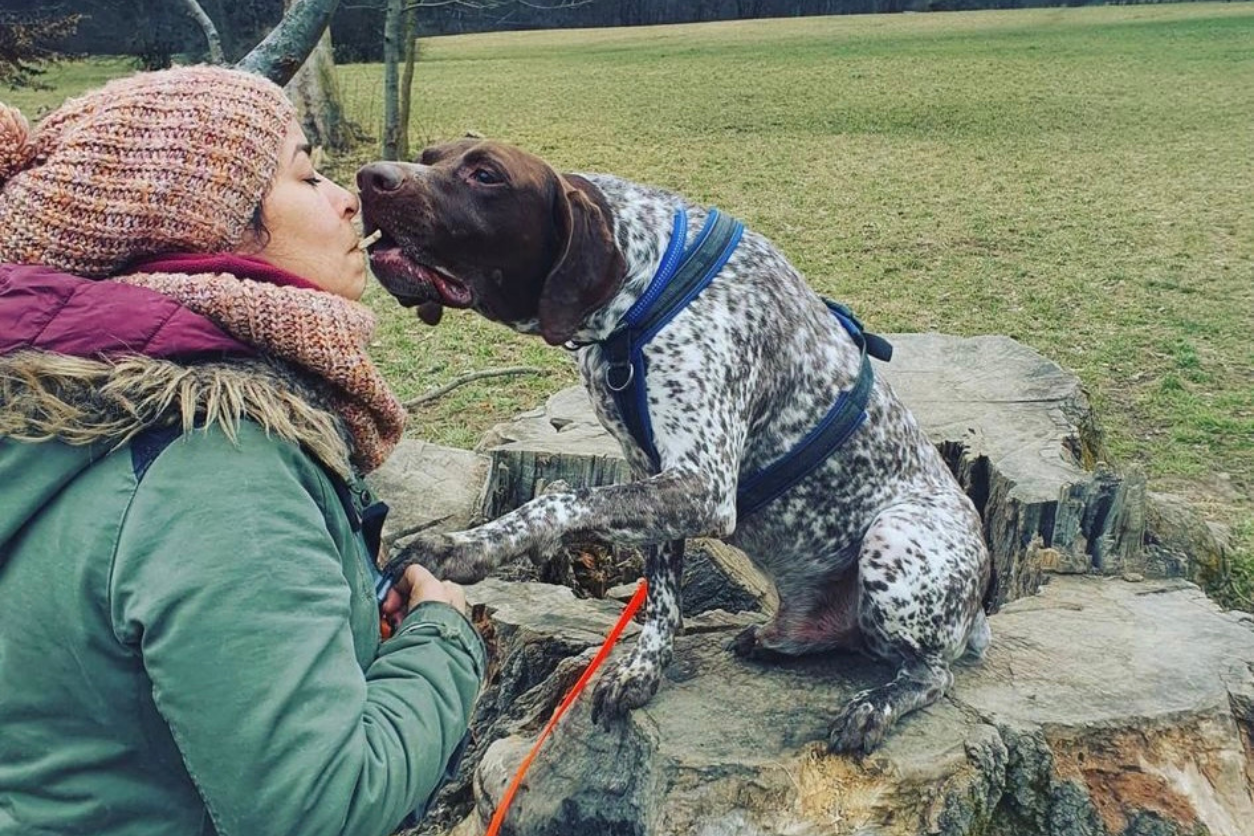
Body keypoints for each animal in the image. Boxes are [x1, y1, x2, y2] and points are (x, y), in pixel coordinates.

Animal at [353, 140, 988, 757]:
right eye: (428, 157)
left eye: (486, 175)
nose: (369, 178)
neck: (648, 284)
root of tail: (979, 607)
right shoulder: (654, 471)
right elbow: (660, 594)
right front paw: (644, 669)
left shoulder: (702, 485)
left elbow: (554, 502)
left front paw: (464, 548)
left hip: (895, 536)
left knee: (931, 671)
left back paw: (876, 705)